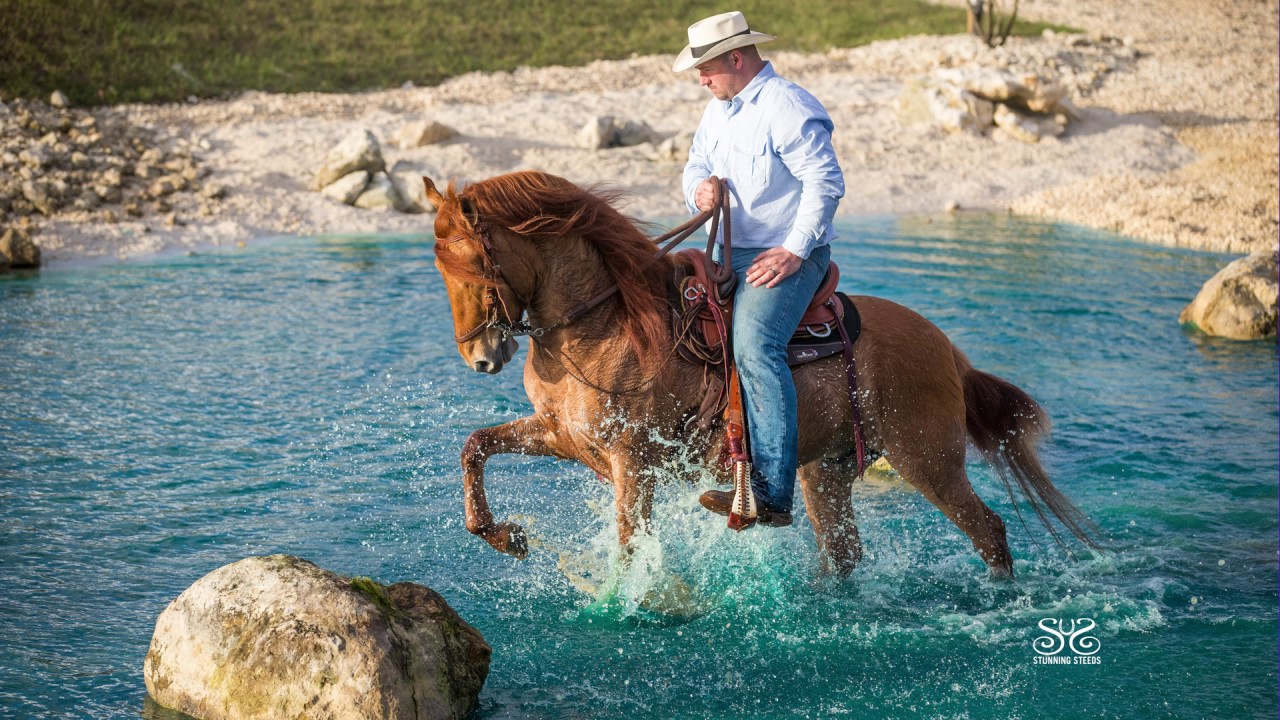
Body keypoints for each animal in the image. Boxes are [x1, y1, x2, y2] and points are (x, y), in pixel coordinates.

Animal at [422, 169, 1098, 578]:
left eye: (473, 266)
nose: (480, 357)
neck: (603, 324)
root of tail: (947, 350)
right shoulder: (564, 436)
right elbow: (475, 446)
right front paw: (504, 536)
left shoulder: (631, 463)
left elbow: (630, 543)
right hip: (827, 471)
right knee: (843, 553)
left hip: (927, 459)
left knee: (988, 531)